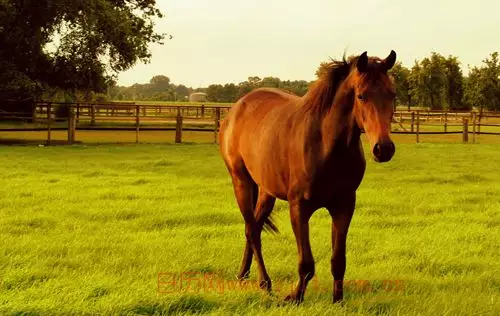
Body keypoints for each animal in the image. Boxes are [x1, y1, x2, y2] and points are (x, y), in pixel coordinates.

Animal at [219, 50, 398, 302]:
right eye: (361, 96)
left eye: (392, 94)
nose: (384, 149)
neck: (325, 144)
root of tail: (236, 109)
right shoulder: (299, 208)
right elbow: (306, 263)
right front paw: (295, 298)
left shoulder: (344, 206)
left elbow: (338, 260)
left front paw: (338, 301)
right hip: (241, 181)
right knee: (252, 230)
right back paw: (265, 284)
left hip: (266, 191)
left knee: (253, 227)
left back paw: (243, 274)